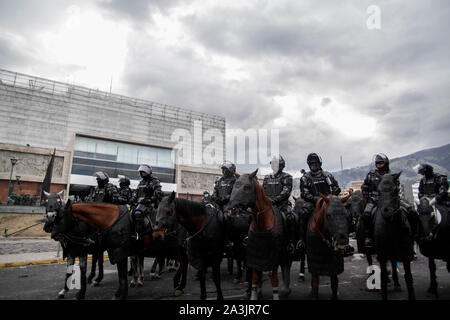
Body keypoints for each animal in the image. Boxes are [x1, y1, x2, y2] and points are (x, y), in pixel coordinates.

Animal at [227, 170, 294, 300]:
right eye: (234, 186)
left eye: (246, 187)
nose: (232, 209)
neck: (262, 225)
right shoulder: (255, 258)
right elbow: (254, 278)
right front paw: (253, 294)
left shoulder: (274, 258)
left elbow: (274, 280)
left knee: (286, 266)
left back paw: (285, 289)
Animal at [374, 172, 416, 300]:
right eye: (378, 190)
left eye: (396, 189)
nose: (387, 212)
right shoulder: (382, 254)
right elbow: (383, 276)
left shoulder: (406, 254)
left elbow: (408, 277)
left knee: (393, 263)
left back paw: (397, 283)